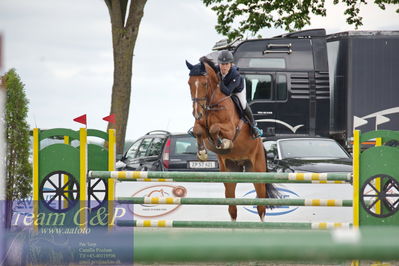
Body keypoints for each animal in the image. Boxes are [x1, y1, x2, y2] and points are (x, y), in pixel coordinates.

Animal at [186, 56, 280, 220]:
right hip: (230, 172)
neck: (212, 104)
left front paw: (222, 143)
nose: (197, 113)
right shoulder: (201, 126)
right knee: (232, 208)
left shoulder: (231, 130)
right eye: (189, 83)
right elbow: (199, 130)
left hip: (257, 171)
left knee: (261, 207)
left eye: (204, 83)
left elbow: (215, 129)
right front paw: (202, 153)